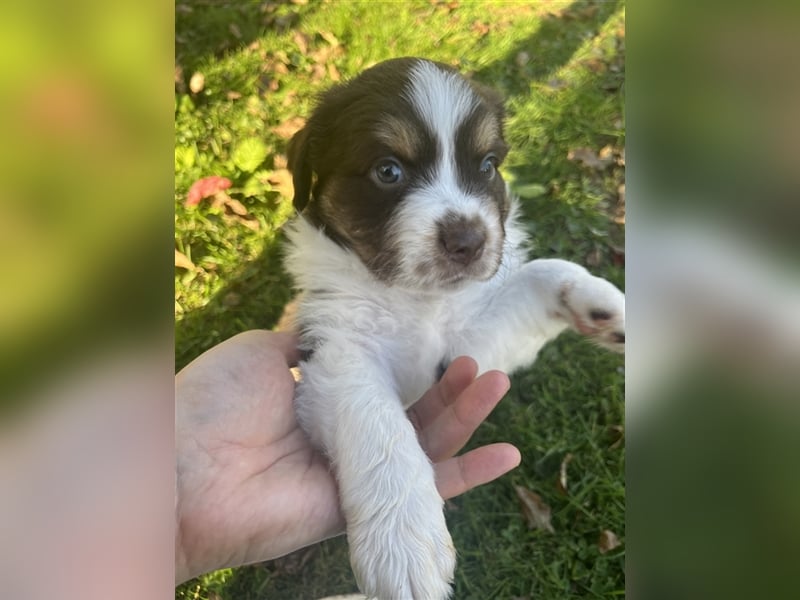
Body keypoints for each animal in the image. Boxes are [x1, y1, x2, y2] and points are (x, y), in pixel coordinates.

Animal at [282, 57, 624, 600]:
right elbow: (375, 421)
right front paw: (404, 546)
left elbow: (539, 273)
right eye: (388, 170)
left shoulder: (470, 350)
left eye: (486, 165)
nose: (469, 240)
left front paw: (600, 304)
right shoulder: (335, 350)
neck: (415, 299)